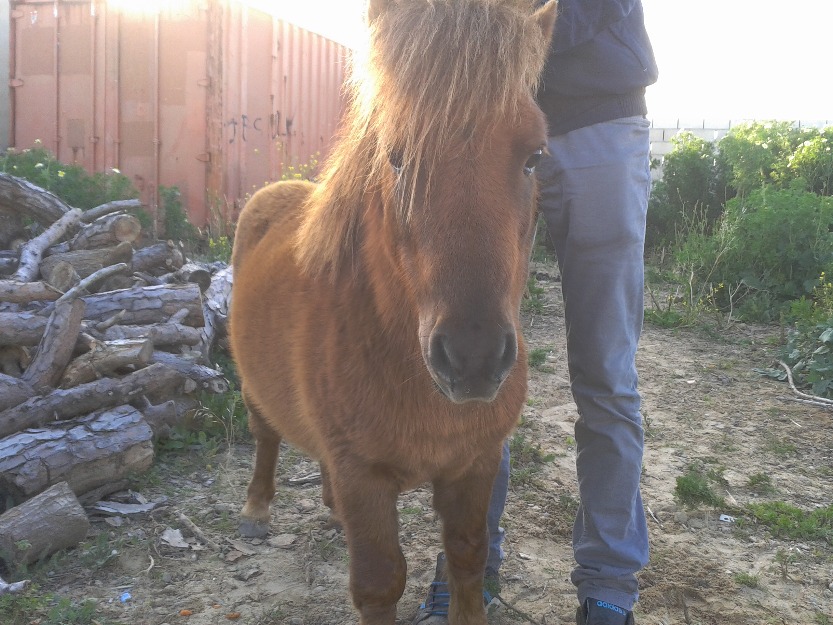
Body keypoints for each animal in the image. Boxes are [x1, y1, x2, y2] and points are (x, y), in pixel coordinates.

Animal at [229, 2, 552, 620]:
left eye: (535, 157)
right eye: (396, 157)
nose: (472, 357)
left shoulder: (475, 465)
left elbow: (468, 559)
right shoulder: (365, 478)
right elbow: (379, 584)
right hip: (254, 389)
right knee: (264, 435)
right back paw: (257, 508)